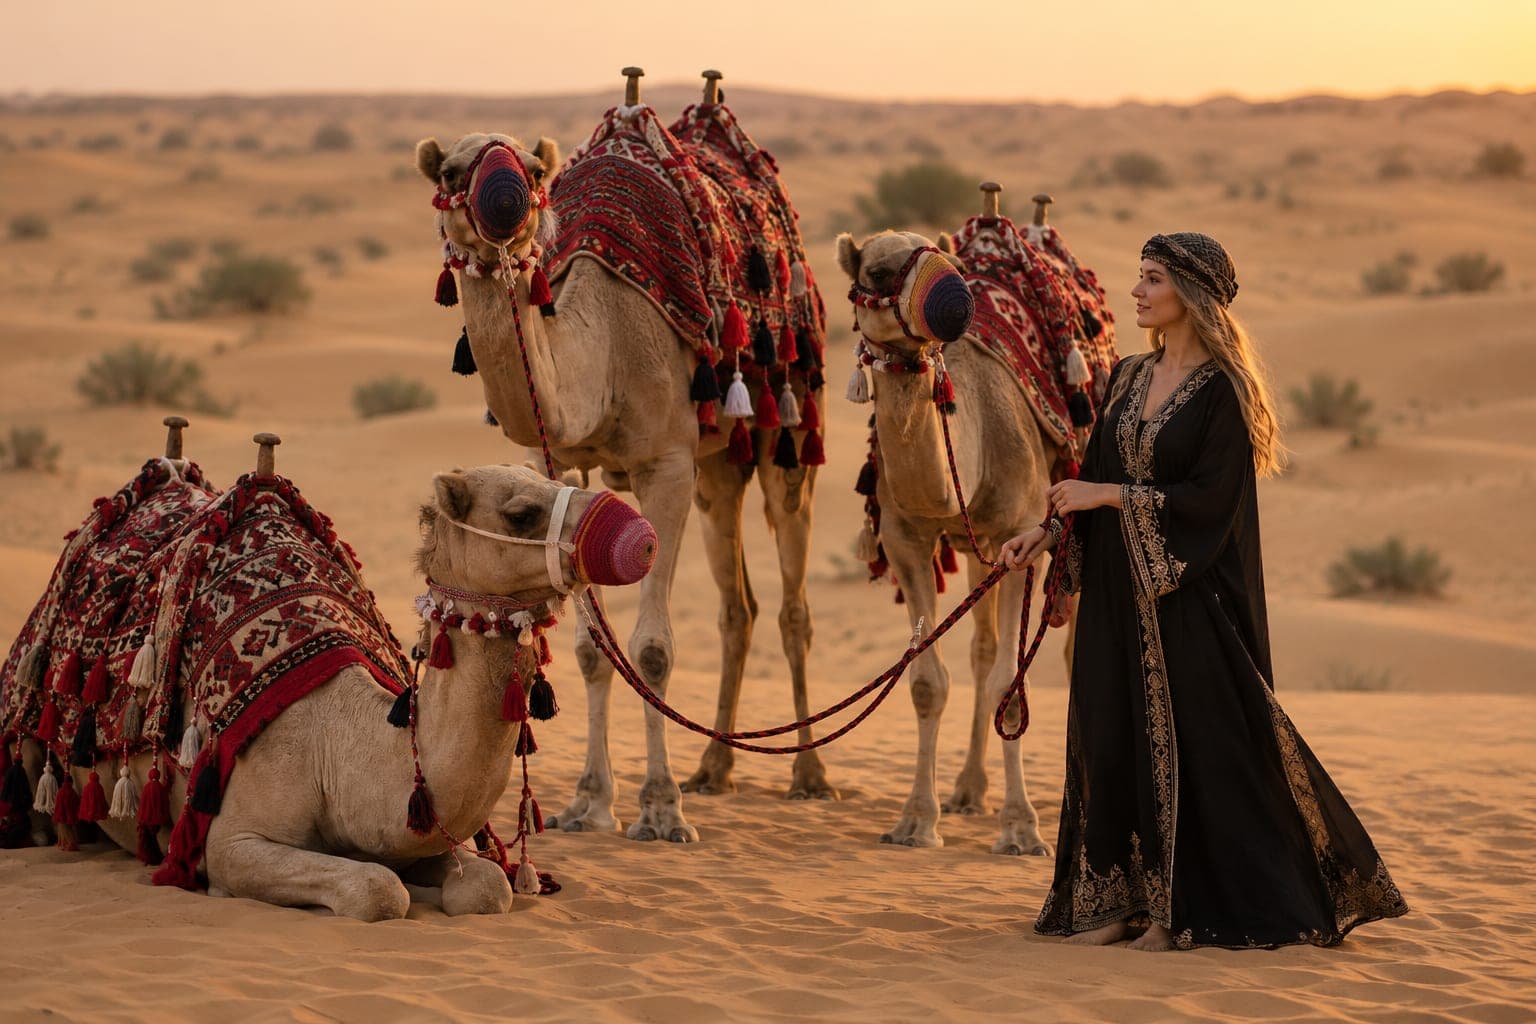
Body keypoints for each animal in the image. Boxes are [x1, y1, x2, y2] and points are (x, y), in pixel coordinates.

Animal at [7, 446, 654, 921]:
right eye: (520, 512)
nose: (639, 534)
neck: (339, 749)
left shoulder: (415, 829)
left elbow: (488, 885)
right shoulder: (232, 842)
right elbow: (378, 890)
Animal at [413, 71, 836, 845]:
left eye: (534, 169)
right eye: (451, 172)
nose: (504, 204)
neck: (602, 345)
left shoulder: (666, 463)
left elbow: (652, 649)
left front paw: (660, 809)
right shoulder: (562, 463)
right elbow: (591, 650)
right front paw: (589, 802)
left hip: (787, 427)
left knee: (793, 601)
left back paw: (808, 775)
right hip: (719, 467)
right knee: (739, 605)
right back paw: (715, 769)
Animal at [834, 227, 1056, 856]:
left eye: (950, 261)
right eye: (878, 272)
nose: (955, 301)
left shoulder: (1025, 537)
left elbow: (1012, 681)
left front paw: (1021, 829)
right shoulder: (907, 539)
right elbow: (927, 682)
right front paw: (915, 821)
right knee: (982, 649)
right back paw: (967, 790)